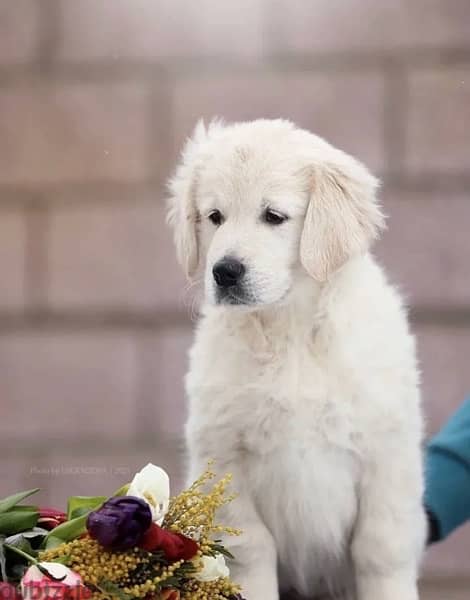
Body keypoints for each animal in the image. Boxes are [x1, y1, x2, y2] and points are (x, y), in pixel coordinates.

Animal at [168, 119, 426, 600]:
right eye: (214, 217)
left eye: (274, 216)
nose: (224, 272)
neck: (289, 327)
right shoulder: (225, 455)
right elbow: (250, 549)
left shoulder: (387, 452)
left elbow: (381, 548)